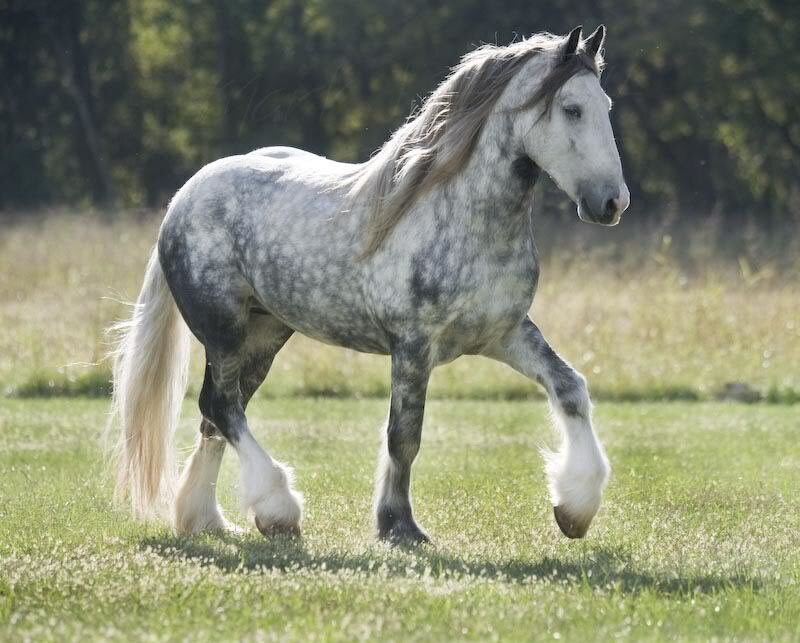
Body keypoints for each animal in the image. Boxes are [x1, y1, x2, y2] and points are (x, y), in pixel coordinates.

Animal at [109, 25, 630, 545]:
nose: (612, 203)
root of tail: (185, 196)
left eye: (605, 104)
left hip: (264, 333)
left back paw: (205, 519)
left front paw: (574, 509)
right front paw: (399, 525)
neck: (465, 218)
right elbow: (404, 436)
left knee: (216, 412)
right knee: (222, 405)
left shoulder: (505, 334)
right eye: (572, 109)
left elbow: (571, 388)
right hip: (224, 332)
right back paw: (278, 510)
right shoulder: (413, 345)